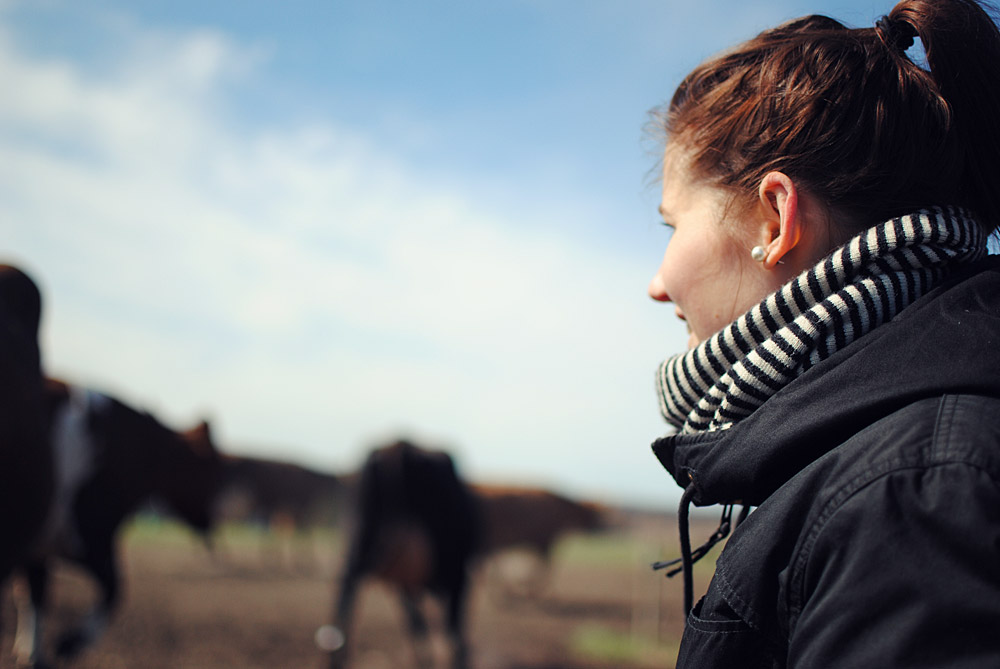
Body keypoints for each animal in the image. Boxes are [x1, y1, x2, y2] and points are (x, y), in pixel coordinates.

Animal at [12, 378, 223, 664]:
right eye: (212, 469)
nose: (215, 518)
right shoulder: (88, 538)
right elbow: (115, 589)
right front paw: (68, 643)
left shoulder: (41, 548)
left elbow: (37, 595)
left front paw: (33, 651)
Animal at [324, 438, 480, 668]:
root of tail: (398, 447)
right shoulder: (450, 577)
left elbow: (417, 624)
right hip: (448, 565)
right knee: (447, 632)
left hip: (359, 539)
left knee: (345, 601)